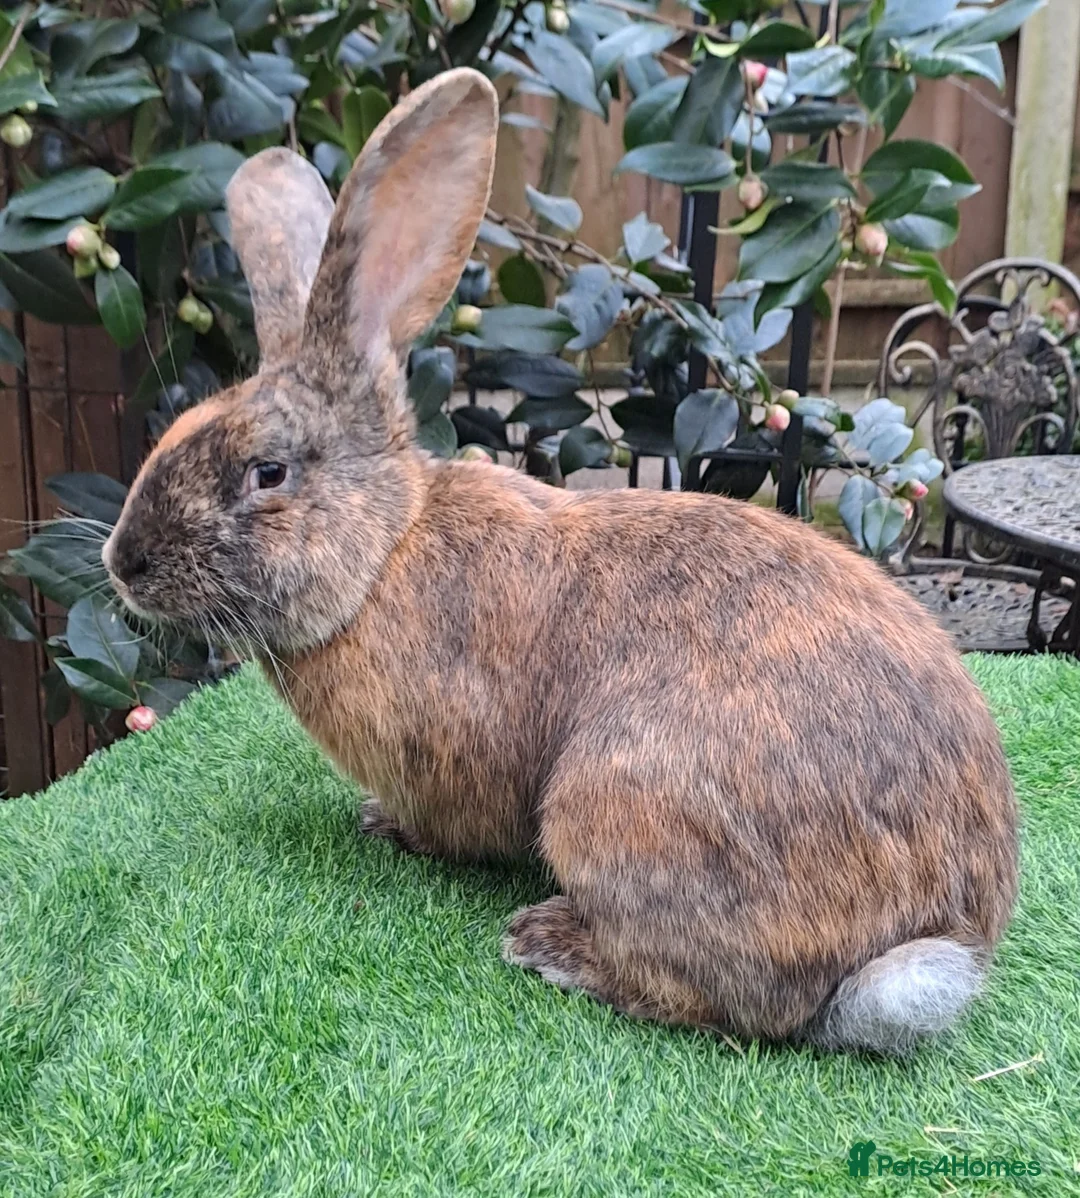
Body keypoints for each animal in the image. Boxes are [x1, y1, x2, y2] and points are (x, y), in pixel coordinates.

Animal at [102, 67, 1018, 1055]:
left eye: (267, 473)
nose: (124, 563)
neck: (383, 556)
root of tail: (922, 943)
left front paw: (396, 831)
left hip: (615, 810)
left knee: (737, 1003)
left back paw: (549, 945)